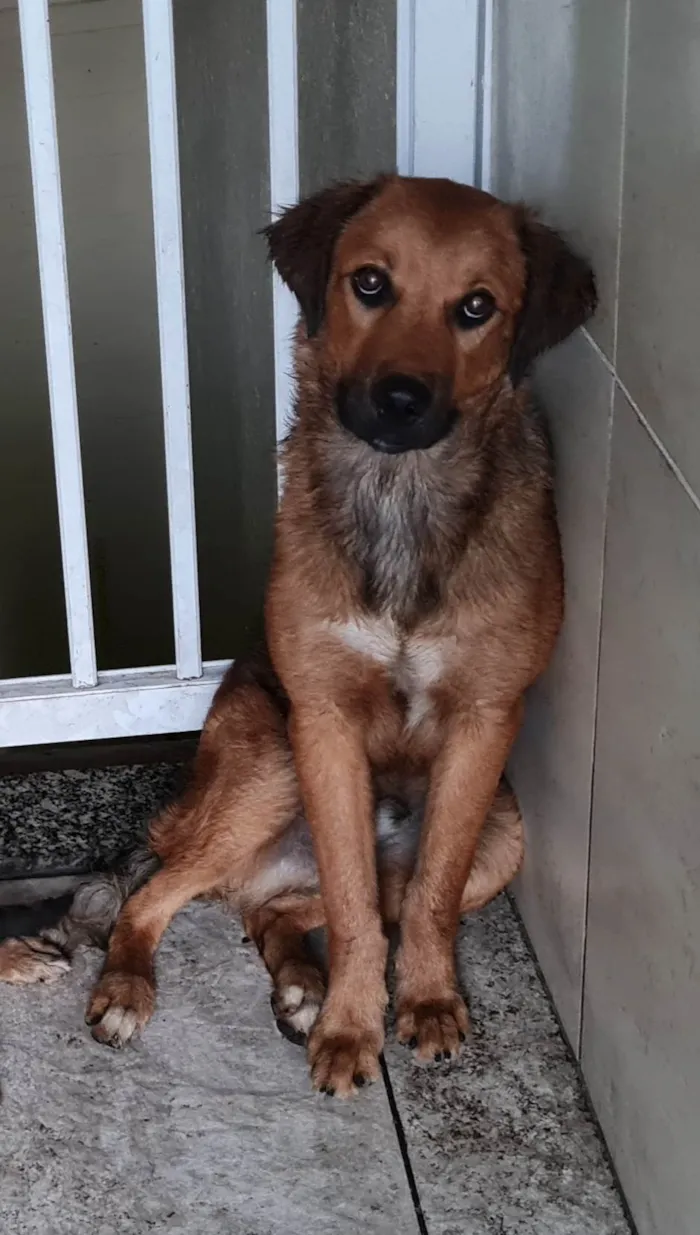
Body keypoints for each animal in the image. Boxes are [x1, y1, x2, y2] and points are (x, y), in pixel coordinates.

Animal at [0, 176, 597, 1101]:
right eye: (370, 283)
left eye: (477, 306)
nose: (400, 400)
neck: (399, 496)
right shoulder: (320, 720)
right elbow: (353, 909)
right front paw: (353, 1028)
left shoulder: (487, 721)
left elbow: (426, 896)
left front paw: (424, 1001)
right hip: (270, 765)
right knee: (153, 898)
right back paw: (130, 985)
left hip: (502, 835)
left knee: (277, 909)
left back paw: (298, 983)